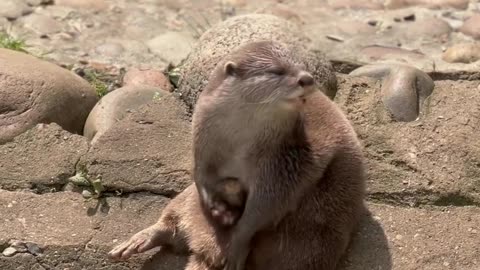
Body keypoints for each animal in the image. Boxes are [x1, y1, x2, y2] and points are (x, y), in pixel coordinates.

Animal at [108, 39, 364, 268]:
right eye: (277, 70)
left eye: (303, 66)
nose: (307, 78)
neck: (239, 145)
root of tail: (203, 247)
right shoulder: (203, 143)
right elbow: (200, 176)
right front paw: (220, 208)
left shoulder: (283, 164)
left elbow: (263, 207)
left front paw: (237, 245)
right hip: (187, 198)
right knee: (172, 219)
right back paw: (135, 242)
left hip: (311, 243)